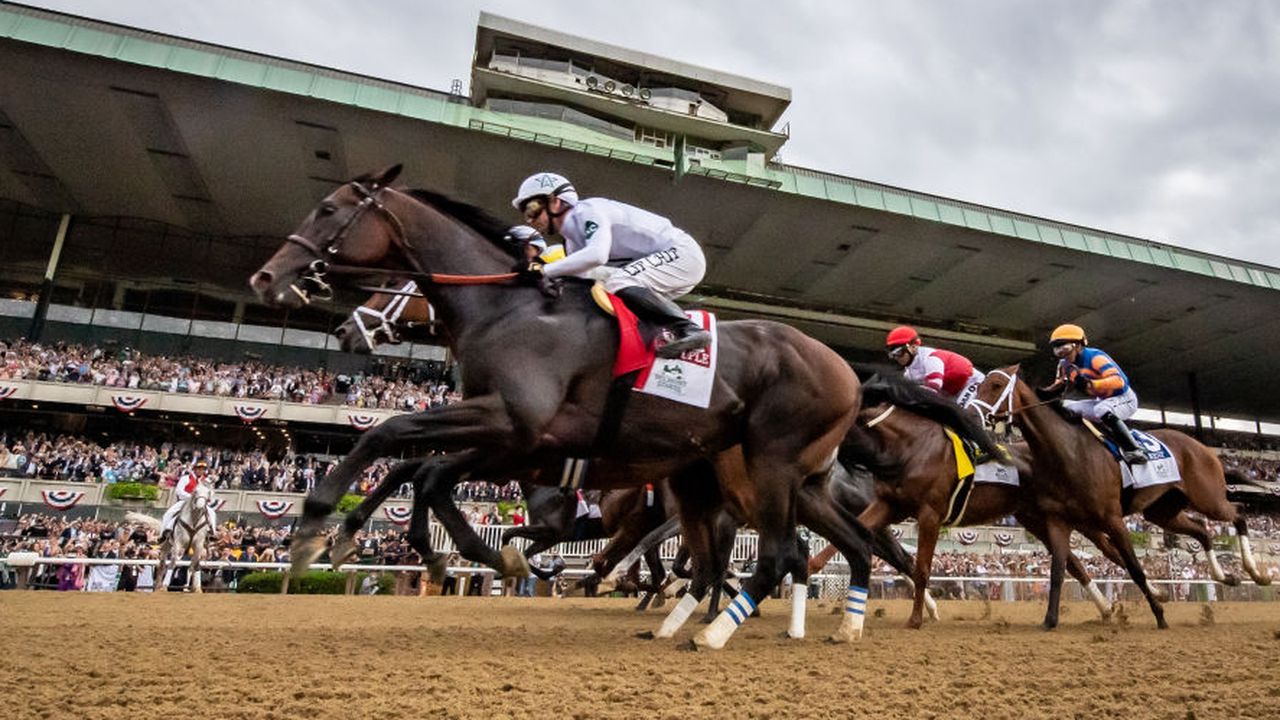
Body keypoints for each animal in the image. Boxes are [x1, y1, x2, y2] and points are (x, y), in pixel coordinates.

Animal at [253, 166, 880, 645]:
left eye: (328, 210)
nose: (265, 278)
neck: (509, 309)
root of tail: (849, 372)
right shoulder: (511, 437)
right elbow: (422, 470)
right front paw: (442, 550)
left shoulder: (511, 422)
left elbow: (391, 436)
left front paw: (315, 527)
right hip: (769, 479)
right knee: (824, 546)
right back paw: (826, 623)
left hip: (769, 464)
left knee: (774, 554)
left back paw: (713, 631)